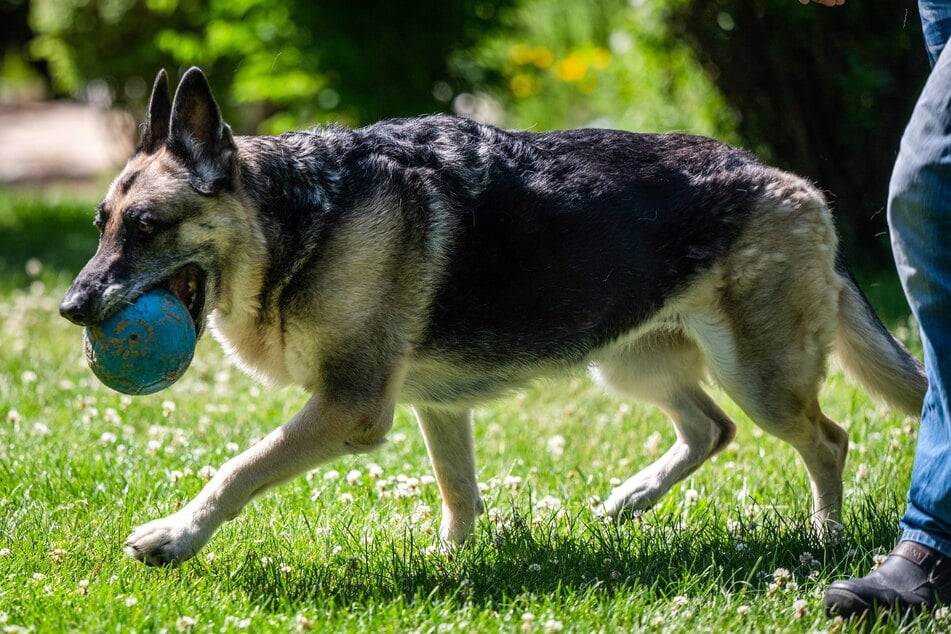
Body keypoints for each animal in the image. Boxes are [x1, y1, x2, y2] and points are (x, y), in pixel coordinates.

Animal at [57, 68, 924, 564]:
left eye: (146, 227)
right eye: (100, 224)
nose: (71, 308)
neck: (299, 216)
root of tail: (788, 180)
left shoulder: (349, 406)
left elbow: (236, 469)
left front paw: (175, 535)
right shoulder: (434, 406)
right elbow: (459, 492)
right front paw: (456, 566)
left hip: (758, 374)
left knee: (825, 439)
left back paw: (824, 538)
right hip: (630, 360)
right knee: (710, 428)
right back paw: (634, 497)